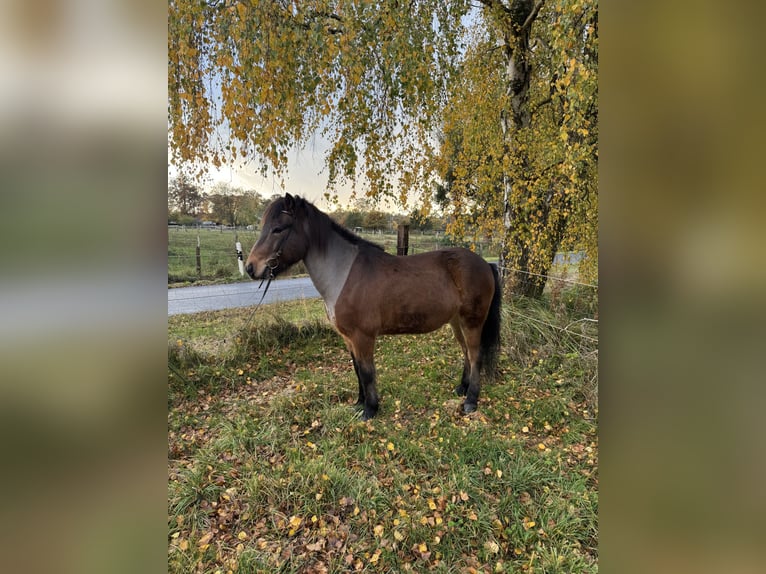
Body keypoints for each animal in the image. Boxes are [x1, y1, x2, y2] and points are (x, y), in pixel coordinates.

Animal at [245, 193, 502, 420]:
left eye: (279, 229)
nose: (250, 267)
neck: (343, 274)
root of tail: (485, 264)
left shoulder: (363, 337)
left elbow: (368, 372)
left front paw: (370, 410)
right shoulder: (349, 338)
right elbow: (357, 369)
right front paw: (359, 403)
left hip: (472, 322)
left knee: (475, 355)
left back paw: (471, 400)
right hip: (456, 322)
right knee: (466, 353)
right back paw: (461, 388)